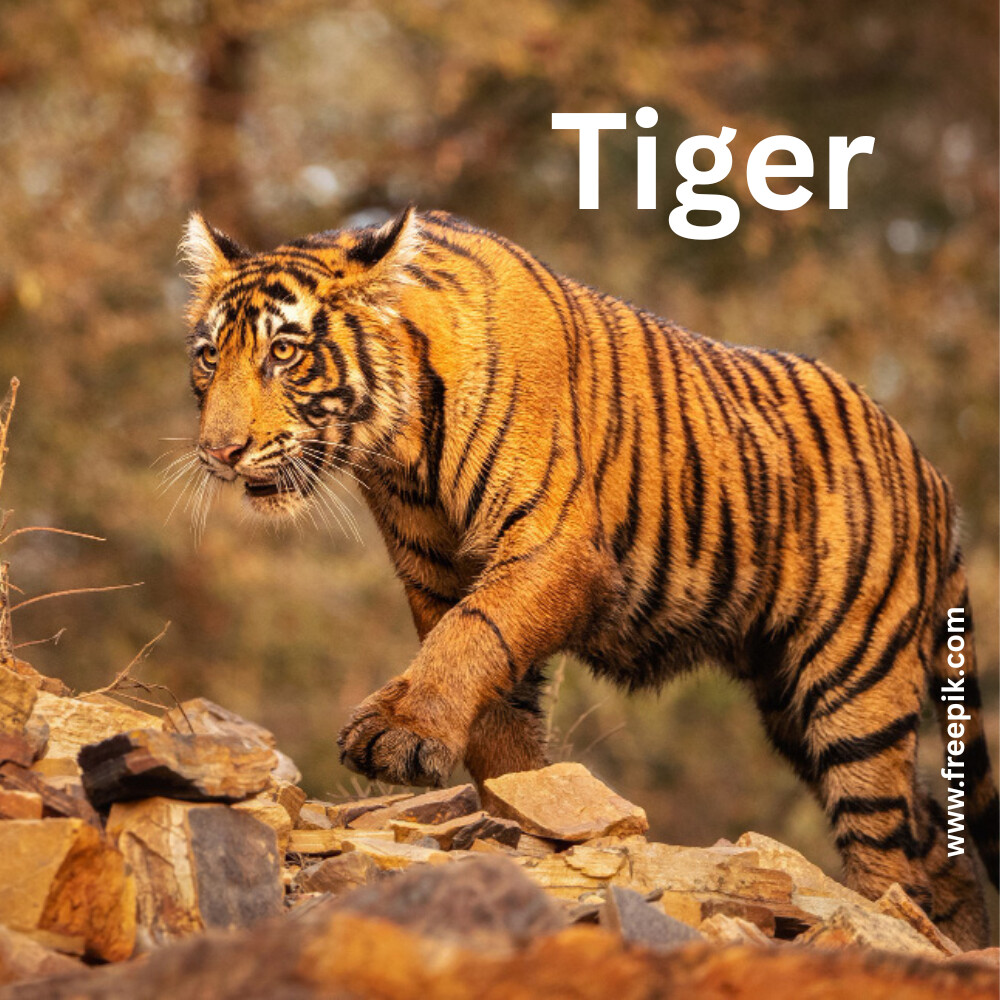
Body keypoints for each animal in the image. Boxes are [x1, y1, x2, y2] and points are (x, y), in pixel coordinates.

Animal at [179, 205, 998, 948]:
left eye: (286, 353)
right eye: (208, 357)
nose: (219, 452)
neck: (401, 446)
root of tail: (933, 476)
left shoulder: (554, 546)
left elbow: (471, 634)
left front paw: (399, 734)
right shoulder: (437, 573)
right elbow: (493, 703)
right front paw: (517, 815)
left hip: (854, 685)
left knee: (888, 843)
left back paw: (888, 928)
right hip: (790, 700)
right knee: (937, 843)